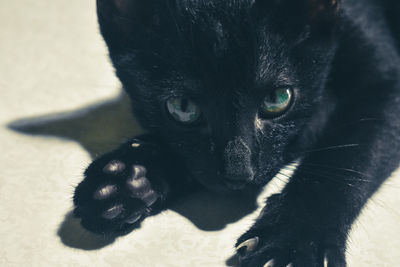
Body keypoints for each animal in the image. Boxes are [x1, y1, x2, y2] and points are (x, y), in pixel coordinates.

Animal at [72, 1, 400, 266]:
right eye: (182, 107)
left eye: (278, 99)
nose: (238, 174)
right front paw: (128, 179)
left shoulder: (386, 84)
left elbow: (344, 156)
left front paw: (295, 242)